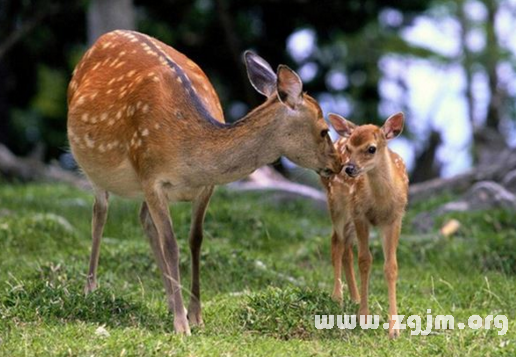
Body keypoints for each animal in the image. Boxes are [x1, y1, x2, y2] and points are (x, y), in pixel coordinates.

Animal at [68, 30, 342, 334]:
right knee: (100, 213)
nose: (339, 164)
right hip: (93, 166)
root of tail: (104, 37)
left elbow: (195, 240)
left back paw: (169, 300)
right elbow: (171, 244)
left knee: (144, 219)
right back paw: (90, 289)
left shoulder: (205, 187)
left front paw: (195, 316)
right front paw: (181, 325)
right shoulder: (151, 176)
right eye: (324, 130)